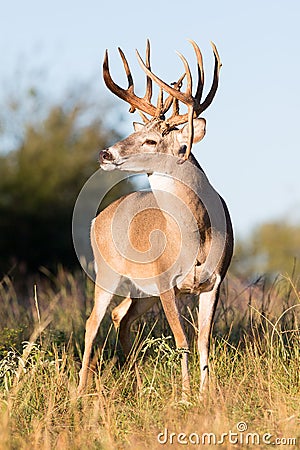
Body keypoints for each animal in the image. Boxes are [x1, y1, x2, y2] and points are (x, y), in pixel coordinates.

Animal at [78, 39, 234, 400]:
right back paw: (79, 390)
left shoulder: (215, 281)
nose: (105, 153)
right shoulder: (165, 280)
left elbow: (204, 342)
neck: (199, 233)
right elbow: (182, 340)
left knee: (120, 316)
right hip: (107, 271)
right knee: (93, 322)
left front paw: (205, 396)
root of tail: (97, 219)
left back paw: (135, 385)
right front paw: (186, 396)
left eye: (151, 140)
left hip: (141, 290)